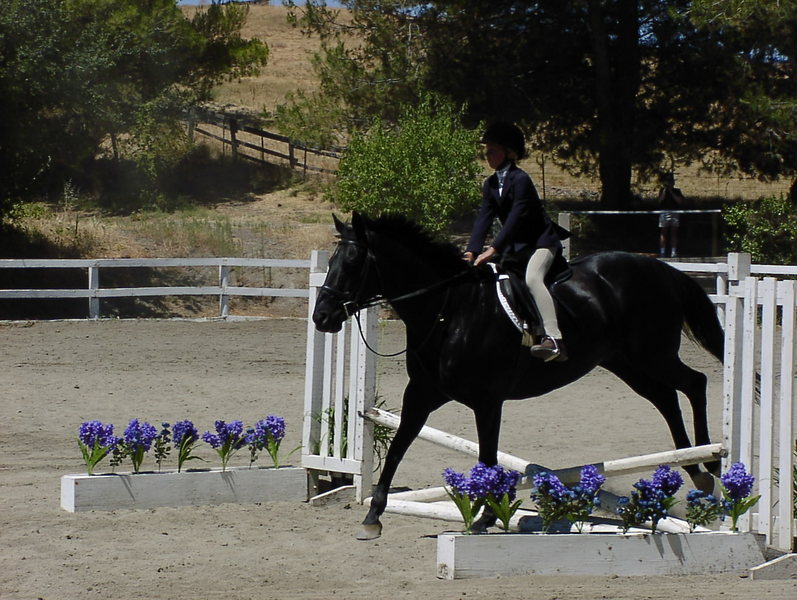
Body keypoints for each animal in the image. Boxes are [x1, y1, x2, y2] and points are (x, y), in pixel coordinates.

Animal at [312, 212, 724, 540]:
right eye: (330, 261)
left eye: (352, 263)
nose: (321, 317)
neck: (449, 310)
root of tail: (661, 269)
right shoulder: (422, 395)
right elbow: (399, 446)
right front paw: (372, 517)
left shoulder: (487, 400)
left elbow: (488, 457)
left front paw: (486, 516)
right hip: (626, 363)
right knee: (666, 397)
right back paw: (694, 468)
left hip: (651, 355)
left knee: (694, 384)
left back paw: (712, 464)